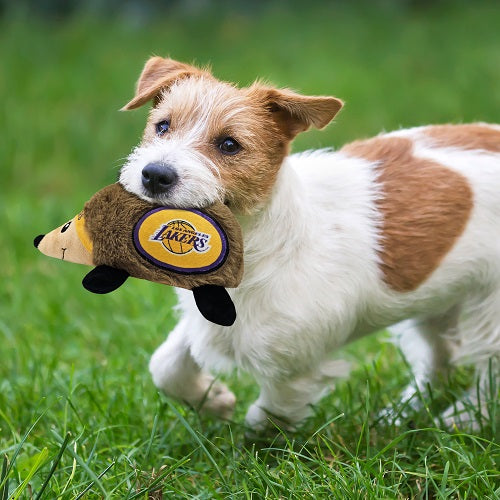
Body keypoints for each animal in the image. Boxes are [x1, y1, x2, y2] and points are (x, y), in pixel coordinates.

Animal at [119, 56, 498, 432]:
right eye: (162, 126)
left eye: (229, 145)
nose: (154, 174)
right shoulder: (206, 322)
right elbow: (165, 365)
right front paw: (213, 400)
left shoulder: (295, 368)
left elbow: (267, 417)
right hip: (436, 300)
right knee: (440, 358)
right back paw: (402, 415)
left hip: (489, 309)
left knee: (488, 371)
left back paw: (465, 418)